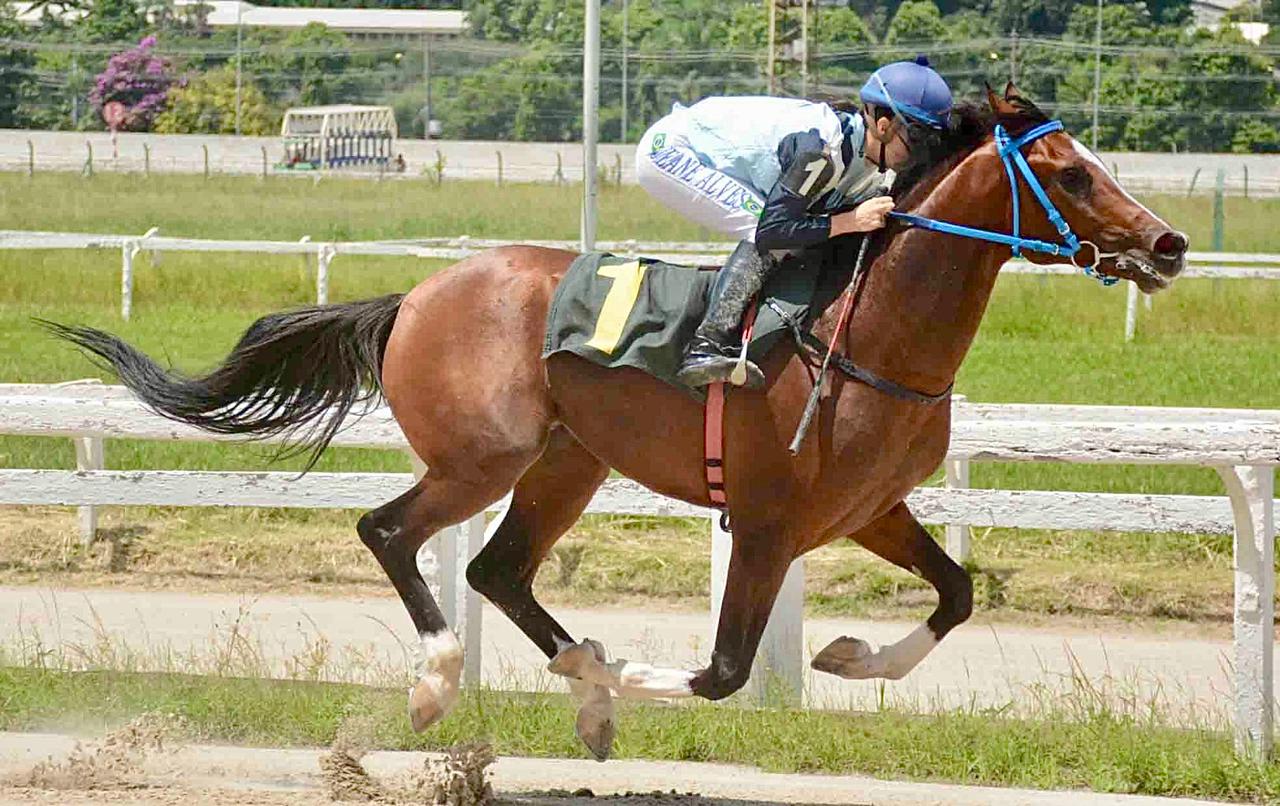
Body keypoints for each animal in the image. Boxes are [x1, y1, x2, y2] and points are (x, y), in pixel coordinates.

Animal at [49, 85, 1187, 762]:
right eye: (1072, 172)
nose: (1168, 244)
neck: (874, 333)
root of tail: (416, 295)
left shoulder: (869, 509)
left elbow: (955, 593)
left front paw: (847, 658)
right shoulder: (767, 524)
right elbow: (721, 672)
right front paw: (619, 677)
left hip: (567, 463)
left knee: (495, 569)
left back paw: (569, 680)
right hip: (484, 455)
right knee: (391, 532)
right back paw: (441, 682)